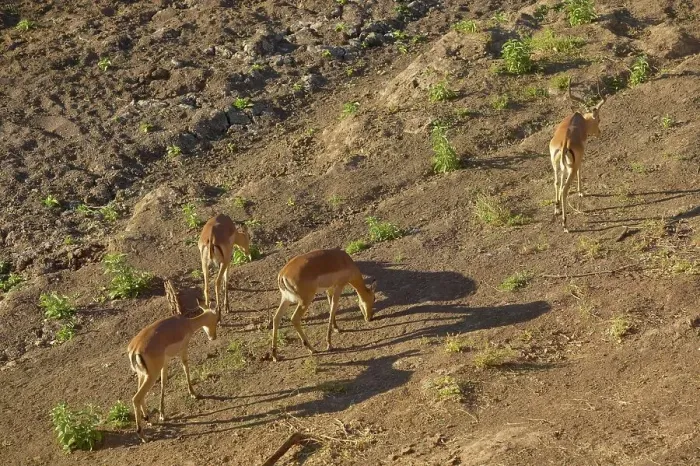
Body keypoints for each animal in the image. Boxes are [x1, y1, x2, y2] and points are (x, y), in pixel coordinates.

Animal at [127, 280, 220, 443]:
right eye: (216, 319)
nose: (213, 337)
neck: (186, 324)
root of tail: (134, 349)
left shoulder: (165, 362)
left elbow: (164, 383)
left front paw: (162, 414)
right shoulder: (183, 350)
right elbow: (186, 368)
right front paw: (194, 393)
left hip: (142, 374)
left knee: (140, 396)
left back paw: (148, 419)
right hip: (151, 375)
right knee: (136, 398)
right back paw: (142, 435)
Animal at [549, 81, 606, 232]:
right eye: (598, 119)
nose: (599, 132)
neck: (581, 122)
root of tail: (564, 143)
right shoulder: (579, 159)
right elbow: (581, 170)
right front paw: (581, 192)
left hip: (556, 164)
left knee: (557, 182)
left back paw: (557, 209)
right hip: (571, 168)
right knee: (564, 189)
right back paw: (565, 224)